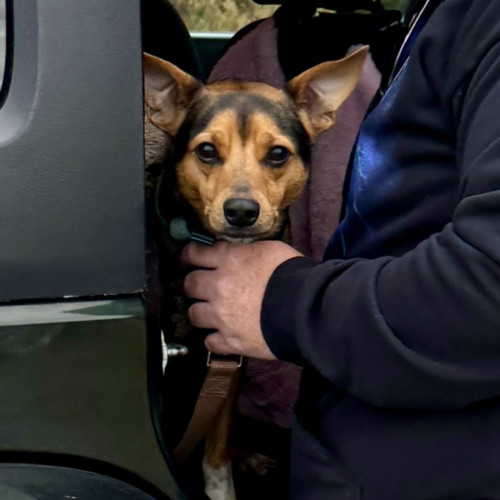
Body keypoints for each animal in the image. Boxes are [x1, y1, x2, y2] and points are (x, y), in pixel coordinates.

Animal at [143, 48, 370, 500]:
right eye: (206, 150)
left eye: (278, 154)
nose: (242, 212)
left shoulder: (230, 360)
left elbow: (216, 448)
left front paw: (222, 487)